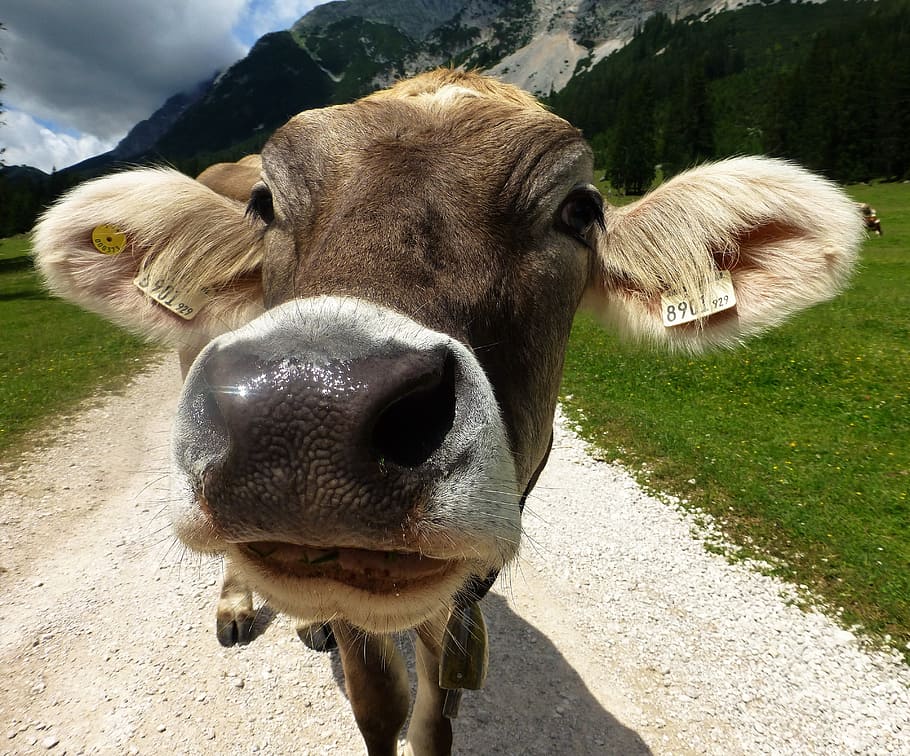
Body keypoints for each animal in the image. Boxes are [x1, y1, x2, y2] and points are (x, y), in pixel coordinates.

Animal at [32, 69, 863, 756]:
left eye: (580, 209)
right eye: (264, 205)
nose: (307, 408)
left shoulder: (460, 599)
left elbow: (434, 720)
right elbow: (380, 709)